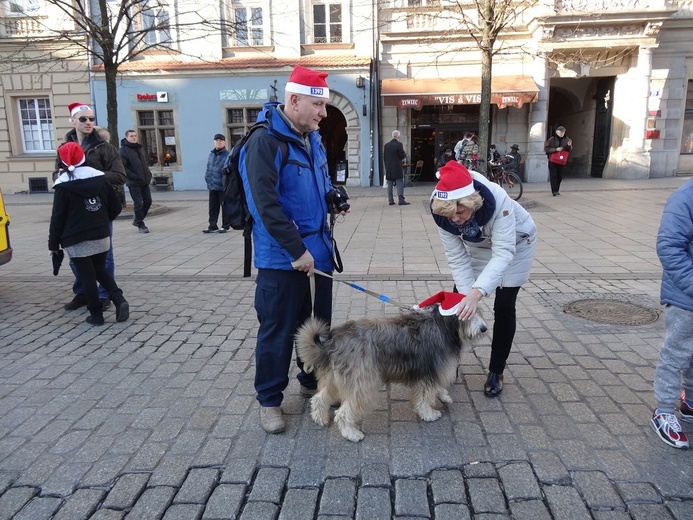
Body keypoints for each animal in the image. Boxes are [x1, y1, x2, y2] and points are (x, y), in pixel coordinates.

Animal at [296, 308, 486, 442]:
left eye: (479, 310)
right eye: (469, 313)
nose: (484, 328)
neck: (443, 324)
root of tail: (333, 340)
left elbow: (435, 389)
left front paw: (443, 395)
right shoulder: (428, 373)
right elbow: (424, 397)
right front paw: (429, 414)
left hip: (335, 379)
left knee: (319, 398)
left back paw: (320, 418)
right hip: (362, 383)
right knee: (342, 413)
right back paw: (351, 434)